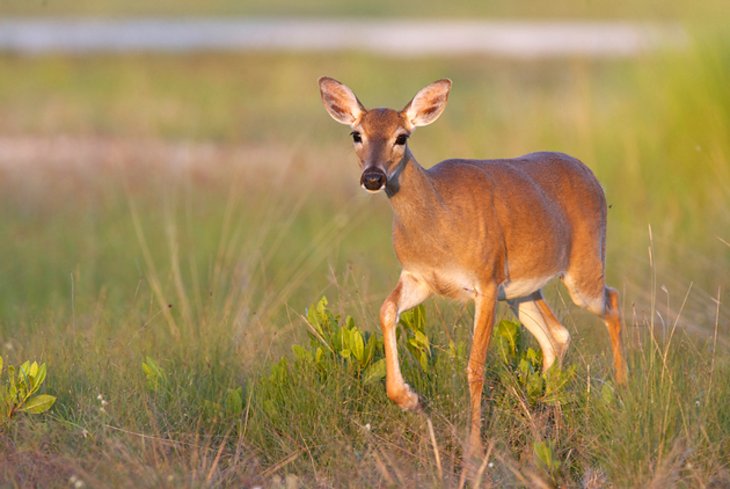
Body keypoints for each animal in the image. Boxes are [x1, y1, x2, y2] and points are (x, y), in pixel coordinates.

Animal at [318, 75, 624, 468]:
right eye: (356, 133)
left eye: (402, 136)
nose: (373, 177)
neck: (440, 219)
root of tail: (589, 172)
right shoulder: (418, 277)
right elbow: (386, 311)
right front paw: (410, 399)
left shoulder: (486, 282)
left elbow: (475, 366)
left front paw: (475, 449)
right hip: (523, 290)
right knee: (557, 335)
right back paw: (545, 423)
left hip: (582, 268)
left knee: (611, 301)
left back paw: (621, 391)